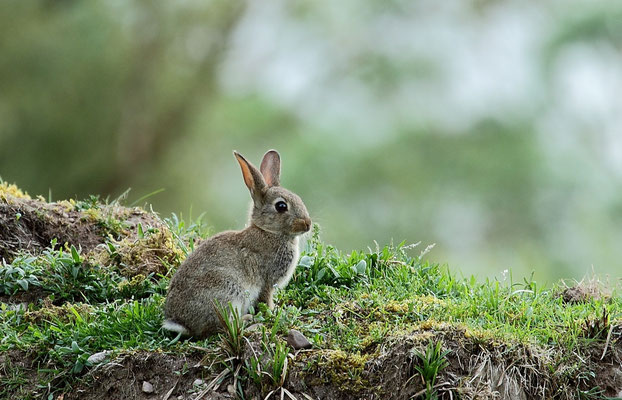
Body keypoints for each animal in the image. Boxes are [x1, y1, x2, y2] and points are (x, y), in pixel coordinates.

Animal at [165, 149, 314, 338]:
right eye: (281, 206)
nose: (307, 224)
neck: (269, 232)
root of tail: (181, 323)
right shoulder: (267, 281)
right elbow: (267, 299)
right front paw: (273, 312)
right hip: (229, 293)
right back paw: (247, 320)